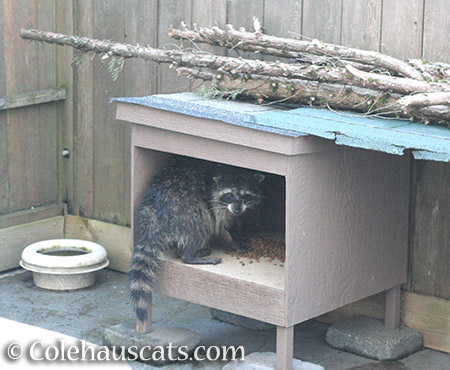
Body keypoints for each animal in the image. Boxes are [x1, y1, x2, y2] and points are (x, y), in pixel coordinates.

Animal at [127, 158, 264, 322]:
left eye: (245, 196)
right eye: (229, 195)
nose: (237, 210)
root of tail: (153, 219)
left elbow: (234, 220)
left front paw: (238, 230)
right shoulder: (214, 203)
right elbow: (218, 226)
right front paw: (232, 242)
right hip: (185, 212)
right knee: (199, 226)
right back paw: (189, 254)